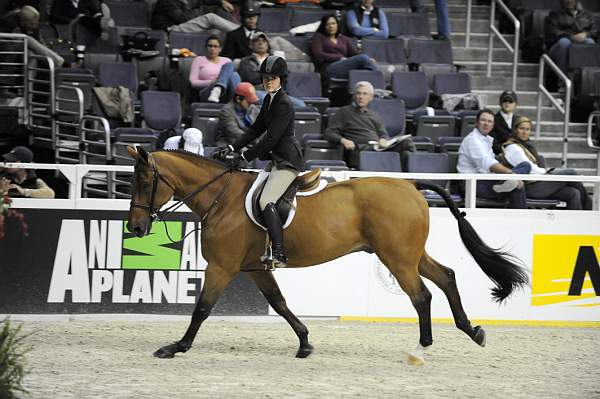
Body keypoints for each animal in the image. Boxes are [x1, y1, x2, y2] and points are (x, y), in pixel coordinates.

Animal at [125, 147, 524, 366]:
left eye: (144, 182)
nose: (136, 228)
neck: (221, 198)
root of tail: (409, 184)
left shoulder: (222, 267)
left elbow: (203, 309)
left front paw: (176, 347)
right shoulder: (254, 267)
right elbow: (280, 303)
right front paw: (304, 343)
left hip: (397, 258)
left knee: (422, 295)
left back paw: (419, 351)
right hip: (409, 254)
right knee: (446, 276)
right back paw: (472, 330)